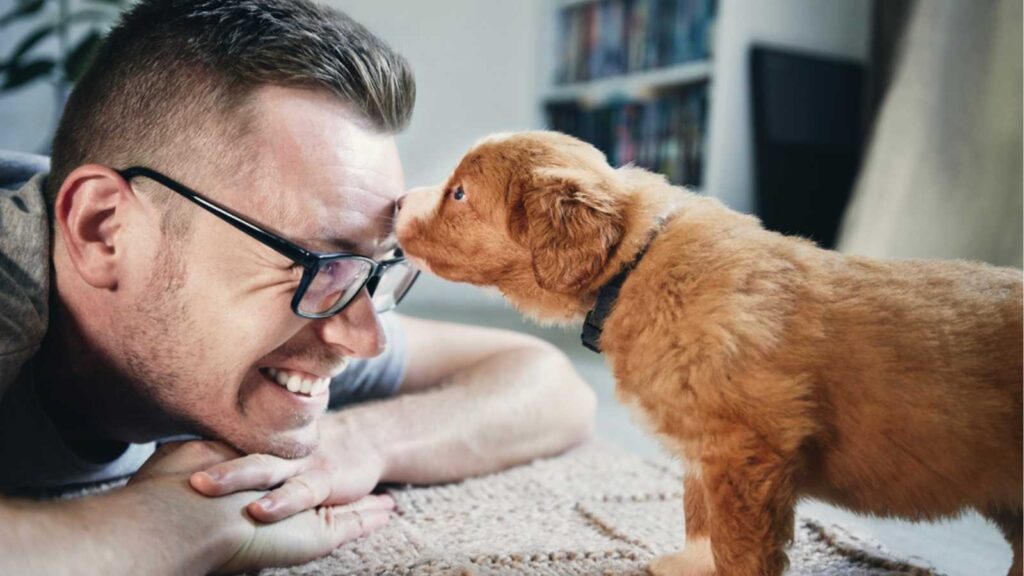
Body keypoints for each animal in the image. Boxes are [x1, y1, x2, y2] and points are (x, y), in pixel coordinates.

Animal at [393, 131, 1024, 573]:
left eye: (459, 193)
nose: (396, 201)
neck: (632, 264)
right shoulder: (706, 448)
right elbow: (700, 518)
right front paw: (687, 564)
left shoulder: (745, 449)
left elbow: (738, 543)